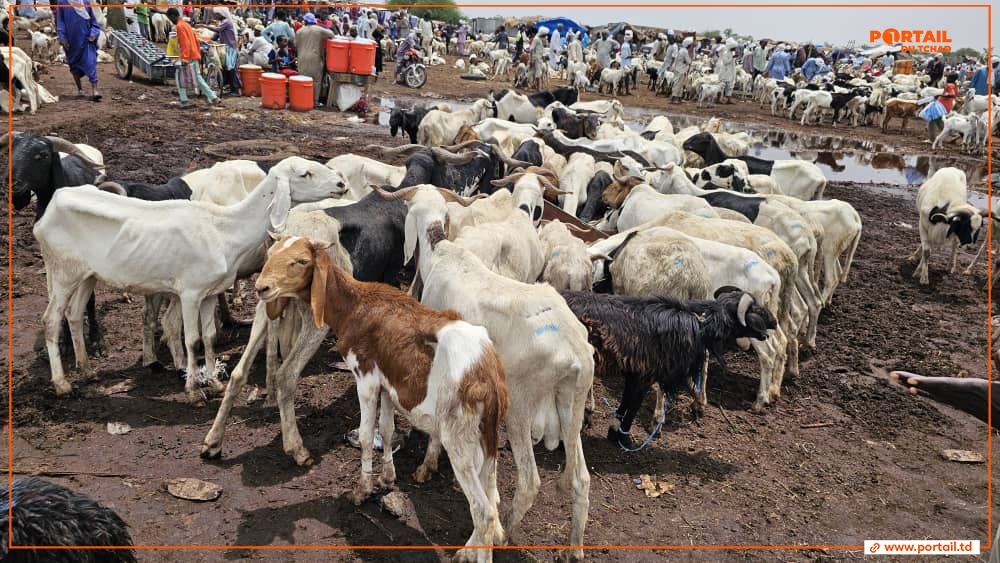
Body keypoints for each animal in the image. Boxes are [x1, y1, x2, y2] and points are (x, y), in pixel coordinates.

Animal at [33, 156, 342, 400]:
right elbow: (192, 340)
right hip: (61, 272)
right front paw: (193, 390)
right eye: (305, 173)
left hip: (86, 275)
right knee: (51, 320)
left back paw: (87, 371)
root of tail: (49, 210)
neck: (224, 229)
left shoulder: (209, 294)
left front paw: (215, 383)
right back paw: (61, 384)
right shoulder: (191, 293)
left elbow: (209, 336)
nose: (340, 184)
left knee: (73, 315)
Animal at [256, 236, 508, 560]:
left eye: (300, 261)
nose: (261, 287)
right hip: (487, 435)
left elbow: (366, 435)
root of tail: (487, 371)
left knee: (483, 511)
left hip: (459, 437)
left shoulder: (365, 378)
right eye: (270, 253)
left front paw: (361, 491)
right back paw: (470, 548)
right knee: (493, 497)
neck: (355, 306)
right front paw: (387, 478)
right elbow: (386, 431)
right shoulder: (388, 386)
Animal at [378, 184, 588, 560]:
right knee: (580, 478)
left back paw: (496, 533)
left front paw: (427, 464)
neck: (441, 253)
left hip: (520, 402)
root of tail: (577, 347)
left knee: (528, 483)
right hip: (569, 400)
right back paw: (573, 549)